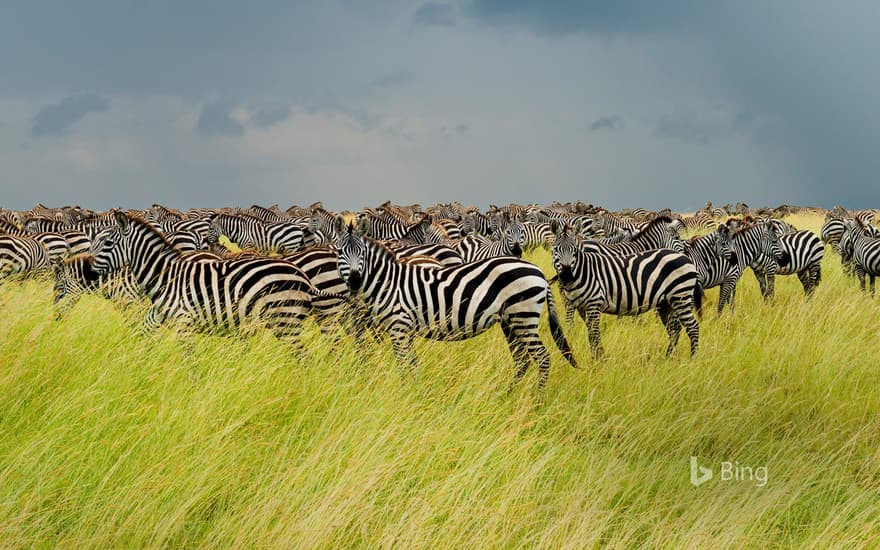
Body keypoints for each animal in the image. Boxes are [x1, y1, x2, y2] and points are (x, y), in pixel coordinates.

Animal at [91, 212, 324, 348]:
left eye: (108, 243)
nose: (90, 274)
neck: (166, 276)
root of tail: (303, 277)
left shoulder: (184, 323)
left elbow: (190, 360)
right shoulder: (157, 316)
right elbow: (141, 335)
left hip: (286, 321)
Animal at [332, 223, 576, 388]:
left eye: (362, 253)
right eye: (341, 253)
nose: (354, 280)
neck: (389, 283)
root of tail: (539, 272)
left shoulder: (399, 328)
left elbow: (403, 365)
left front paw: (404, 393)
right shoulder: (405, 331)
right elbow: (412, 364)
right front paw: (416, 392)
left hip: (524, 316)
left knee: (542, 358)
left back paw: (537, 401)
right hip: (511, 321)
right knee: (522, 359)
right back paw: (509, 394)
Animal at [552, 222, 700, 360]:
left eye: (574, 251)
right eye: (555, 250)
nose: (566, 276)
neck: (584, 270)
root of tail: (686, 259)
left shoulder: (594, 303)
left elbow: (594, 334)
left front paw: (599, 360)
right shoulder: (583, 306)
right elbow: (591, 333)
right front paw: (596, 357)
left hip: (680, 296)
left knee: (692, 327)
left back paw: (692, 359)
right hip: (666, 302)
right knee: (675, 328)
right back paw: (669, 357)